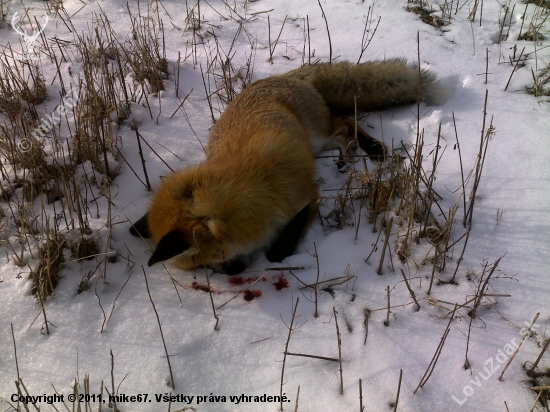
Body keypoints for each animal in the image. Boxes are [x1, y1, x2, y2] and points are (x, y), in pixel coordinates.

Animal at [130, 58, 448, 274]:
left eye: (208, 262)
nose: (235, 274)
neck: (247, 188)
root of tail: (281, 77)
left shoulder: (303, 198)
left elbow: (280, 245)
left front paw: (277, 253)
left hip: (318, 131)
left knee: (346, 121)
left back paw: (374, 149)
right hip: (316, 143)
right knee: (341, 136)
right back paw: (346, 159)